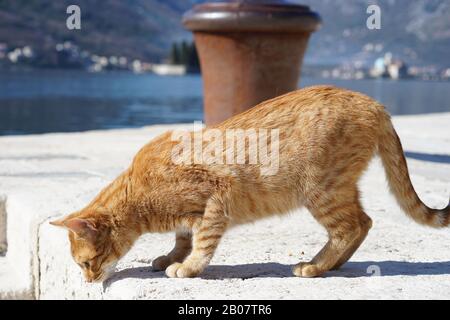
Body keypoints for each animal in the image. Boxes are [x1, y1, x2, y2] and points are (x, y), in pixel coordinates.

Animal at [50, 85, 446, 282]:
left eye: (85, 264)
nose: (88, 283)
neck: (137, 196)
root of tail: (374, 103)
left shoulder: (214, 200)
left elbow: (201, 244)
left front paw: (188, 268)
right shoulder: (189, 216)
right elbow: (182, 239)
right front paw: (170, 257)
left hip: (321, 191)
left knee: (354, 225)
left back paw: (316, 267)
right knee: (362, 224)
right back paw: (329, 264)